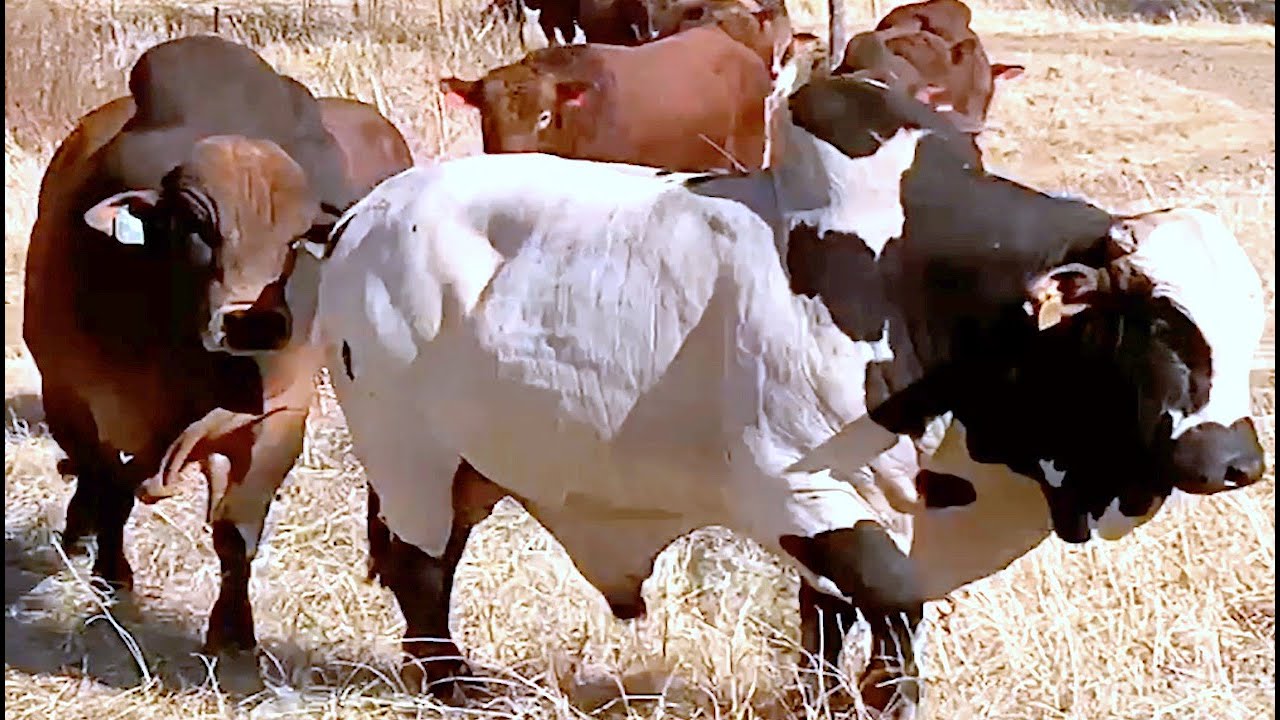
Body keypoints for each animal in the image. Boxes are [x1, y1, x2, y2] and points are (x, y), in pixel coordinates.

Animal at [23, 34, 413, 655]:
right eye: (196, 226)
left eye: (297, 239)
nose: (253, 323)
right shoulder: (71, 398)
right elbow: (110, 491)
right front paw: (112, 581)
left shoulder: (277, 415)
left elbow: (237, 529)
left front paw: (233, 628)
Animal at [206, 72, 1263, 716]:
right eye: (1161, 323)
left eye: (1249, 328)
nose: (1237, 459)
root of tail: (362, 213)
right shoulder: (799, 492)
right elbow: (891, 602)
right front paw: (889, 699)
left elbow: (833, 619)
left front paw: (822, 699)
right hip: (409, 456)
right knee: (422, 573)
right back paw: (456, 685)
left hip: (465, 467)